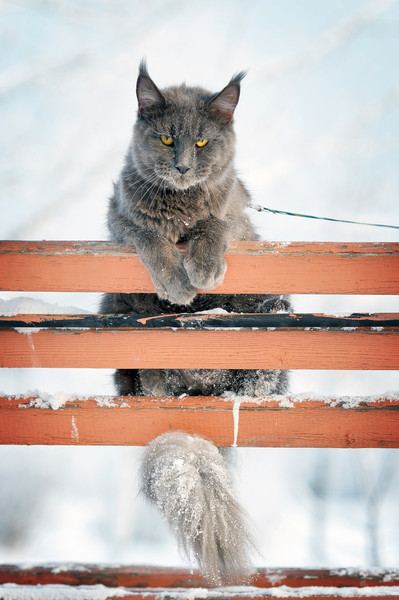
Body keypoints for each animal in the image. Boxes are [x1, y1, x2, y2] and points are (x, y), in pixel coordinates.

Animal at [101, 63, 292, 584]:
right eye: (167, 138)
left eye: (203, 142)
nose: (184, 166)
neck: (180, 205)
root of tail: (197, 396)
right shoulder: (122, 221)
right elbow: (149, 235)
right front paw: (177, 282)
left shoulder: (235, 221)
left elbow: (214, 225)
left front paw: (201, 270)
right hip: (117, 308)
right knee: (143, 378)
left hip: (270, 305)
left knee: (259, 382)